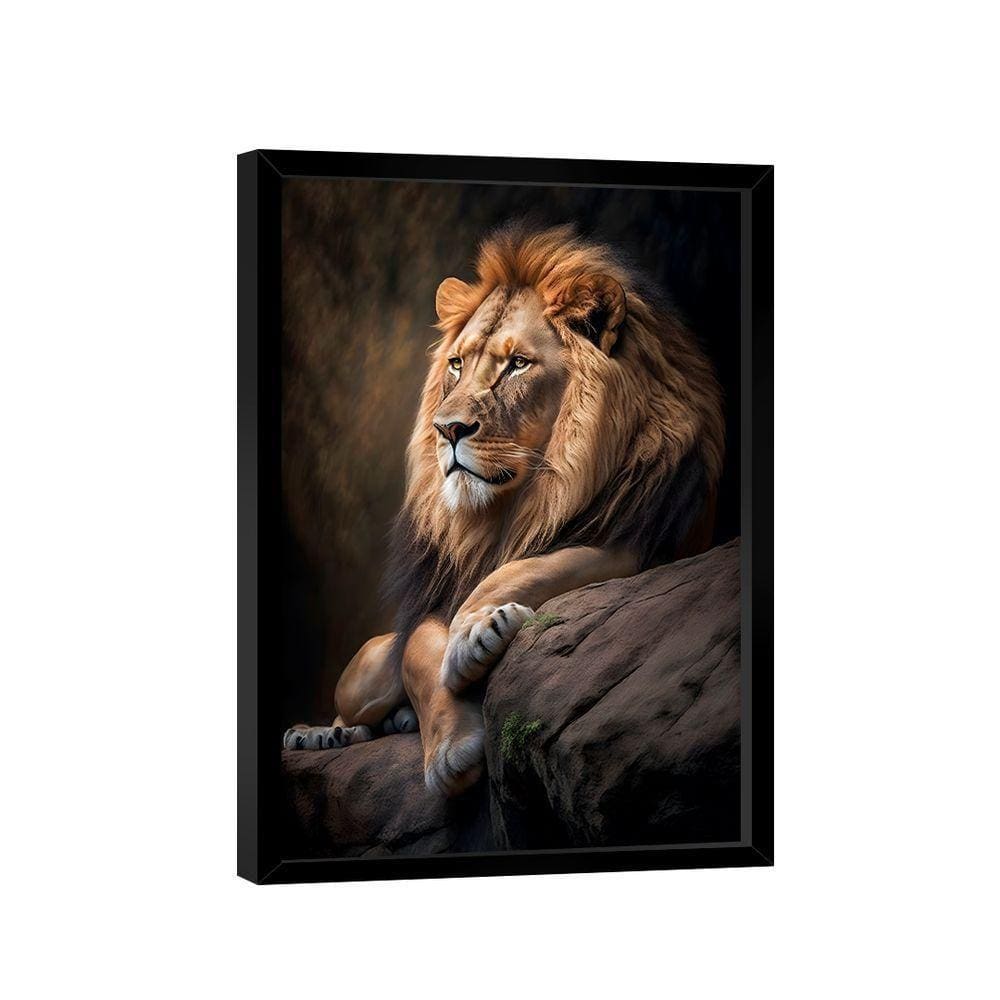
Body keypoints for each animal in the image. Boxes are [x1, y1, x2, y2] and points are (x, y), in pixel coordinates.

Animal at [284, 223, 724, 797]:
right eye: (456, 364)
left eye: (517, 364)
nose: (446, 429)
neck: (516, 508)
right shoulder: (430, 602)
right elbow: (420, 651)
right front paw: (451, 748)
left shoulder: (646, 542)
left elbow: (542, 564)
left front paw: (476, 630)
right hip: (367, 671)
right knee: (359, 699)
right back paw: (319, 735)